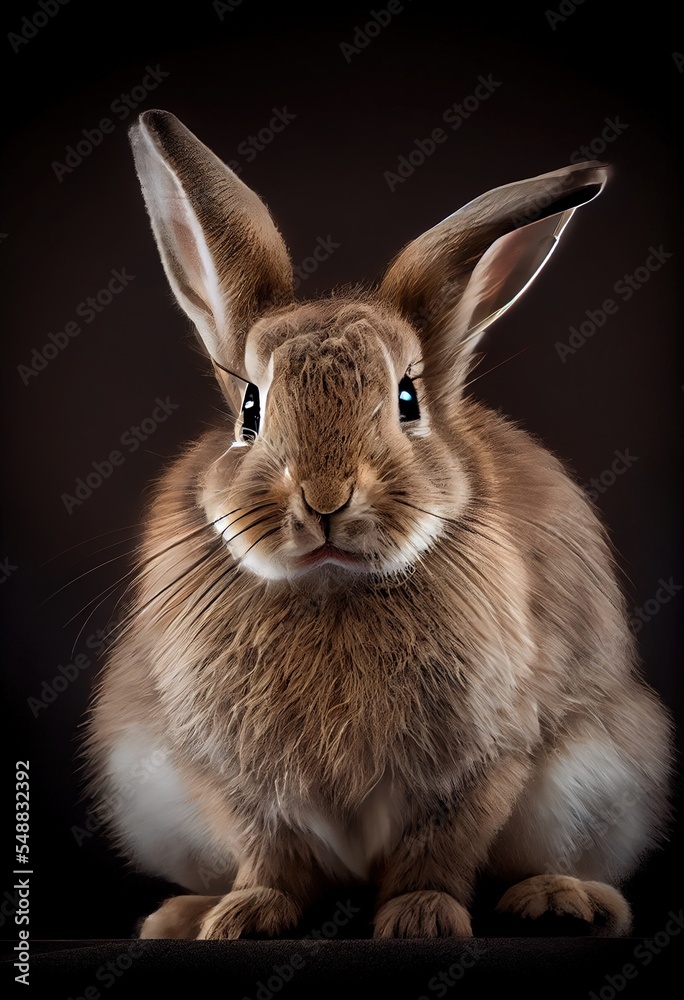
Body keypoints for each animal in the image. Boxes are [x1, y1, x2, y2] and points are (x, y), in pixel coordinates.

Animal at [84, 109, 672, 941]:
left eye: (406, 400)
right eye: (249, 410)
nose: (326, 498)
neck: (335, 586)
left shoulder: (481, 763)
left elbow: (442, 845)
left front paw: (421, 918)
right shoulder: (237, 780)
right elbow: (269, 852)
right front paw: (248, 916)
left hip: (595, 785)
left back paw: (562, 901)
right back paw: (184, 915)